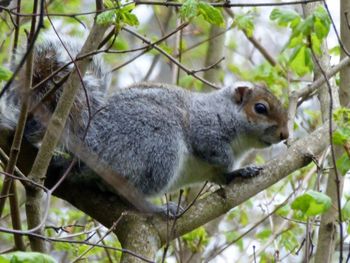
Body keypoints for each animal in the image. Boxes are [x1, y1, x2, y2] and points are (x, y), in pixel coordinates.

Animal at [0, 36, 288, 217]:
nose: (285, 134)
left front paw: (242, 171)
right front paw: (231, 162)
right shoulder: (205, 126)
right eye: (260, 108)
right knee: (130, 191)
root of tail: (87, 140)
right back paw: (158, 209)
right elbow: (212, 148)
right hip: (156, 145)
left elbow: (222, 175)